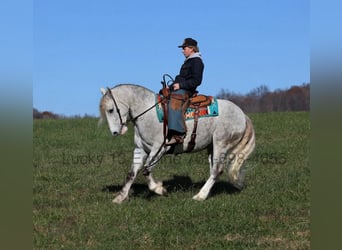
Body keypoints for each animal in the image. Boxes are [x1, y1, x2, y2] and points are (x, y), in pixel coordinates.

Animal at [99, 84, 254, 203]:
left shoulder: (159, 148)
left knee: (217, 170)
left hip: (220, 144)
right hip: (211, 147)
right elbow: (132, 173)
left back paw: (200, 196)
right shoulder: (140, 150)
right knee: (214, 170)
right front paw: (120, 197)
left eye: (111, 110)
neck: (148, 114)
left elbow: (146, 170)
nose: (115, 132)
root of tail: (242, 114)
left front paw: (160, 189)